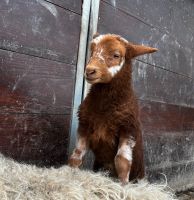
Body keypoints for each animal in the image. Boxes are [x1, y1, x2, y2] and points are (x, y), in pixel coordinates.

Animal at [68, 33, 158, 184]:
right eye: (92, 51)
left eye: (116, 55)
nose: (89, 71)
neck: (104, 109)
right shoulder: (84, 125)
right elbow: (76, 155)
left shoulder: (128, 129)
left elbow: (122, 162)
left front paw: (123, 185)